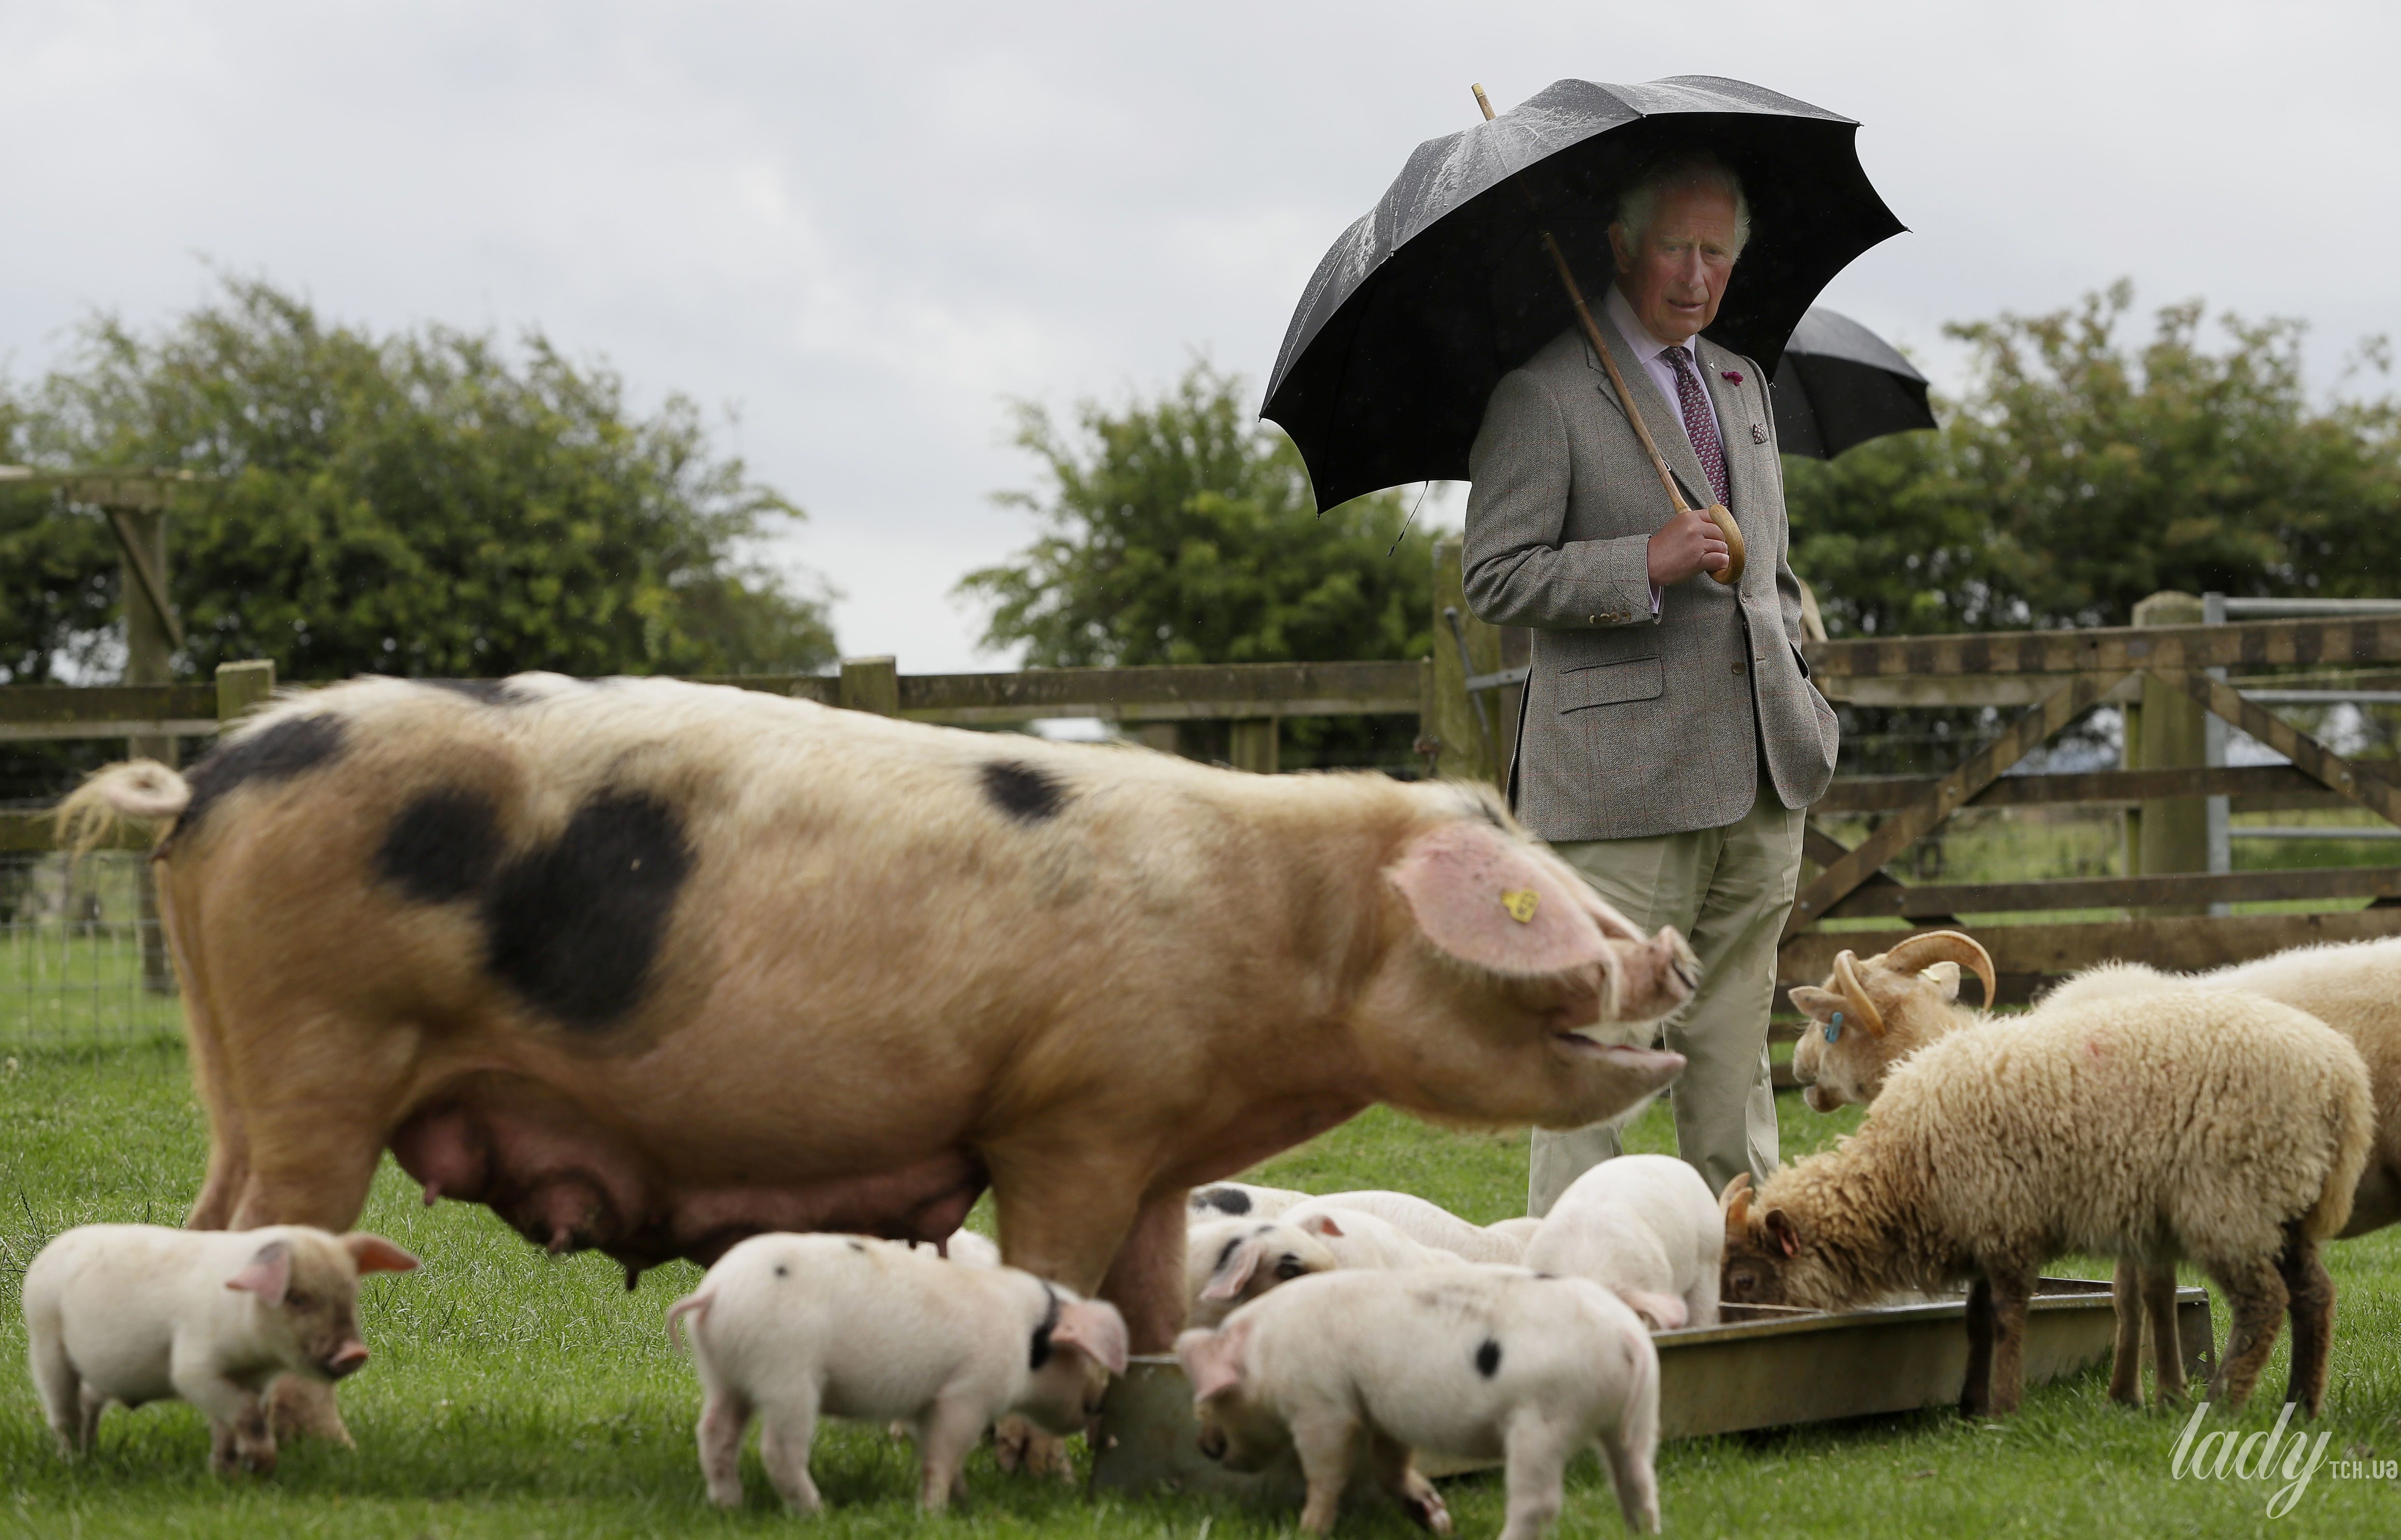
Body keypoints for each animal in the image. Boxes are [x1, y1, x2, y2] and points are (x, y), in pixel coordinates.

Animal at [66, 677, 1700, 1355]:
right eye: (1545, 908)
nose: (1674, 951)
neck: (1274, 935)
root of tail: (206, 780)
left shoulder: (1159, 1145)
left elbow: (1151, 1295)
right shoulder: (1070, 1115)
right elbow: (1060, 1268)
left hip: (243, 1068)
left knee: (201, 1224)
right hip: (321, 1050)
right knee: (265, 1231)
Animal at [1719, 990, 2372, 1413]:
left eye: (1746, 1280)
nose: (1732, 1327)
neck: (1904, 1167)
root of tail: (2341, 1076)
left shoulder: (2005, 1220)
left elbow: (2007, 1317)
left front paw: (2003, 1407)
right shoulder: (1982, 1227)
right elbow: (1975, 1319)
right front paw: (1970, 1404)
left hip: (2229, 1199)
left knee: (2264, 1302)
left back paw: (2222, 1404)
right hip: (2283, 1198)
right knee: (2314, 1294)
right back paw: (2301, 1404)